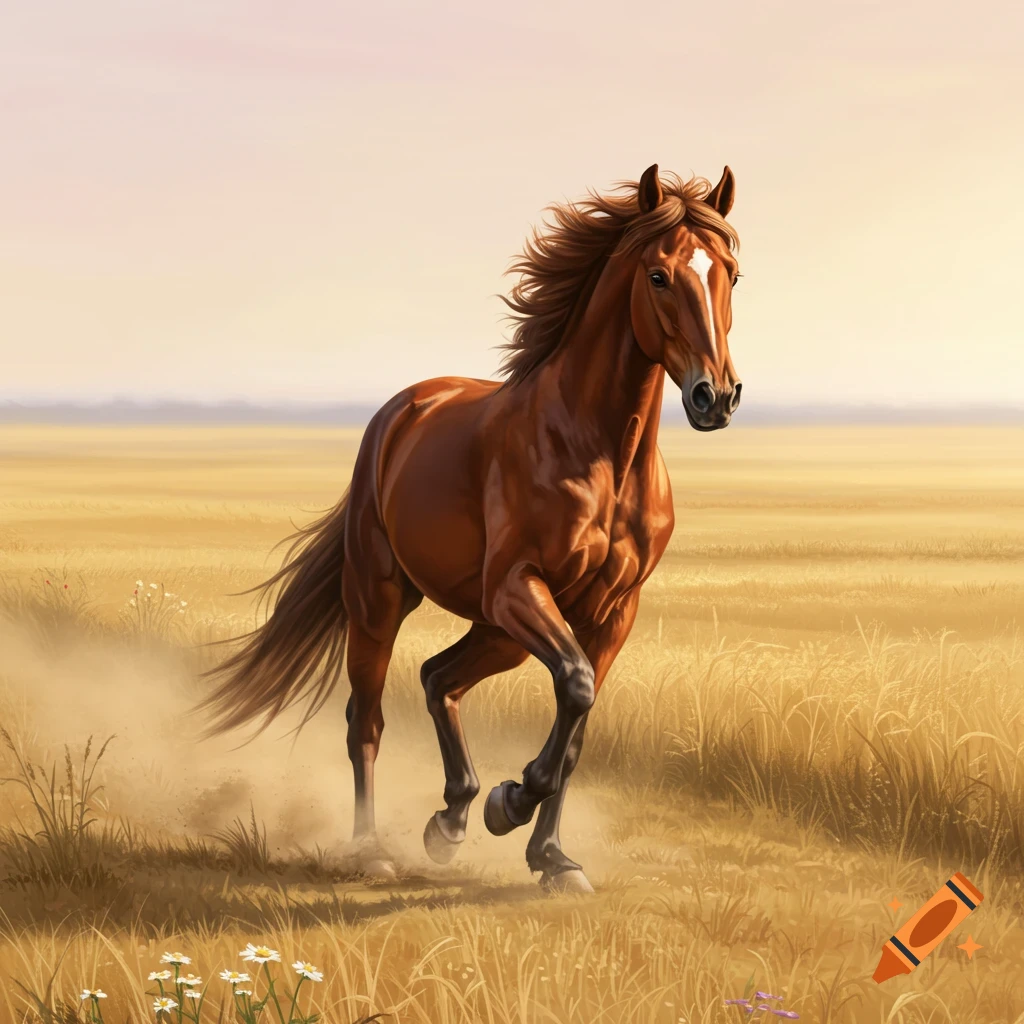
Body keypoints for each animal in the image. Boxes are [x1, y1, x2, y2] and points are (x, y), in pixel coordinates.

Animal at [198, 163, 743, 893]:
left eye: (732, 274)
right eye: (659, 275)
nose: (717, 397)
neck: (598, 450)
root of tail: (400, 411)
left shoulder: (611, 613)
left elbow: (577, 729)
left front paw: (552, 858)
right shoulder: (518, 587)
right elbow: (574, 686)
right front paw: (510, 803)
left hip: (498, 631)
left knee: (438, 677)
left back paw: (450, 819)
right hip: (383, 601)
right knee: (366, 718)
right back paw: (373, 847)